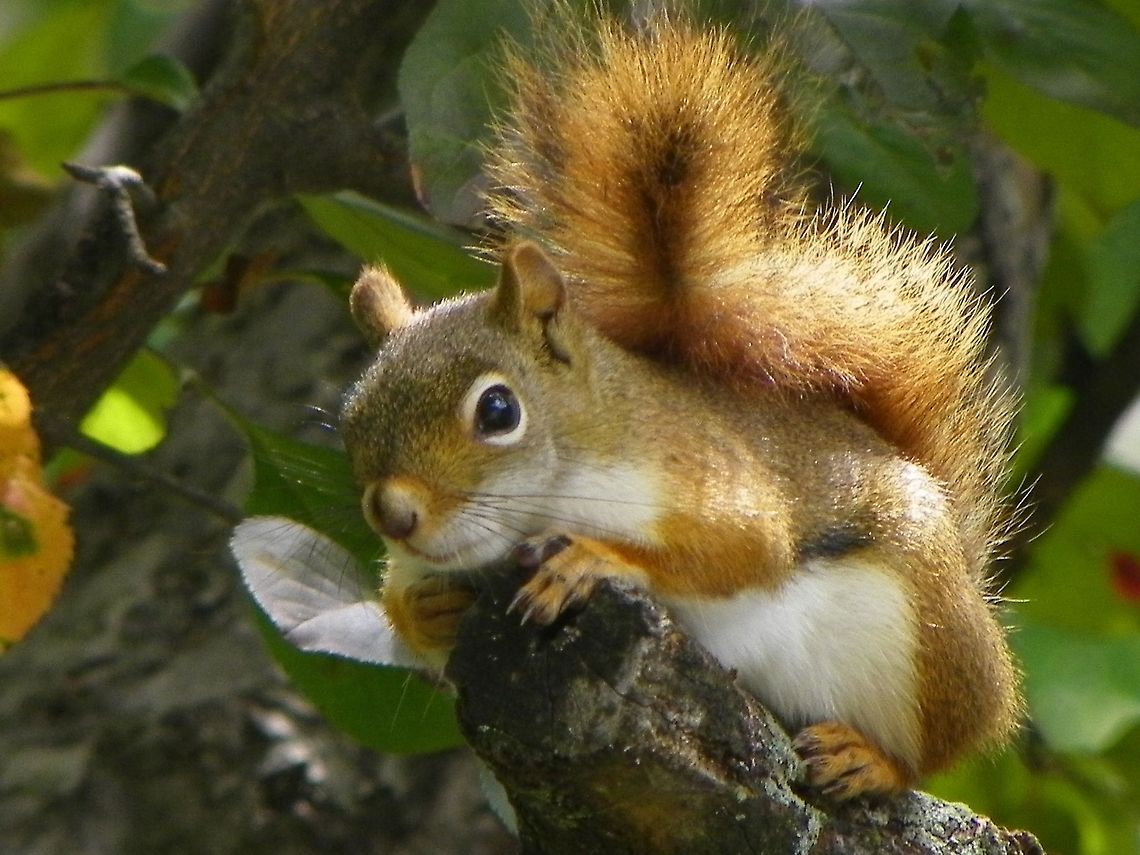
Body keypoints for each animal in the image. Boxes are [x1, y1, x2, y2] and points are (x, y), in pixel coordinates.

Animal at [339, 10, 1021, 800]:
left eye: (499, 411)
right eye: (351, 420)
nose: (394, 514)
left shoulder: (701, 475)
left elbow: (739, 551)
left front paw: (592, 559)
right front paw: (426, 609)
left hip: (924, 644)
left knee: (931, 753)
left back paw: (869, 758)